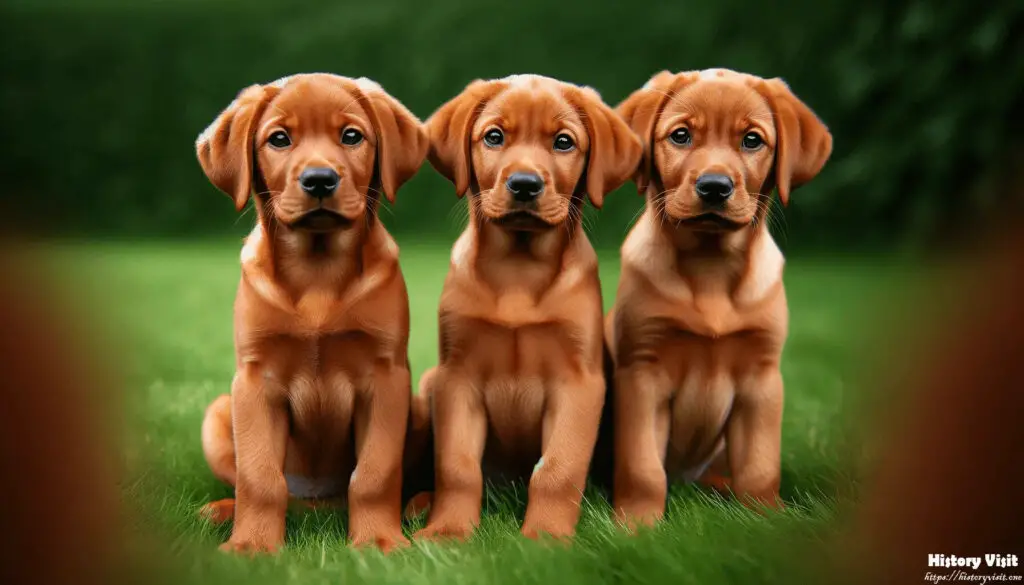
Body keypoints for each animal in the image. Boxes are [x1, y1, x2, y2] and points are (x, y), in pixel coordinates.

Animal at [195, 73, 428, 553]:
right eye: (279, 139)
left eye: (351, 136)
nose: (319, 180)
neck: (318, 272)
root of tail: (320, 507)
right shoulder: (255, 382)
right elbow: (259, 477)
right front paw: (252, 546)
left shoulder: (387, 378)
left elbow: (375, 473)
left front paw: (378, 541)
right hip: (219, 412)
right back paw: (222, 511)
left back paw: (419, 506)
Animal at [409, 75, 634, 540]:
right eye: (494, 136)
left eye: (563, 142)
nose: (525, 184)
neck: (518, 271)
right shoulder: (456, 378)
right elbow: (456, 467)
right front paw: (447, 532)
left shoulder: (579, 383)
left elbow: (557, 469)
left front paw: (545, 536)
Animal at [602, 68, 835, 524]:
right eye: (681, 135)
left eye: (752, 140)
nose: (714, 187)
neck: (710, 269)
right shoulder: (642, 375)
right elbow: (642, 466)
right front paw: (637, 524)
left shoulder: (762, 380)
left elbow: (760, 466)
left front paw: (766, 518)